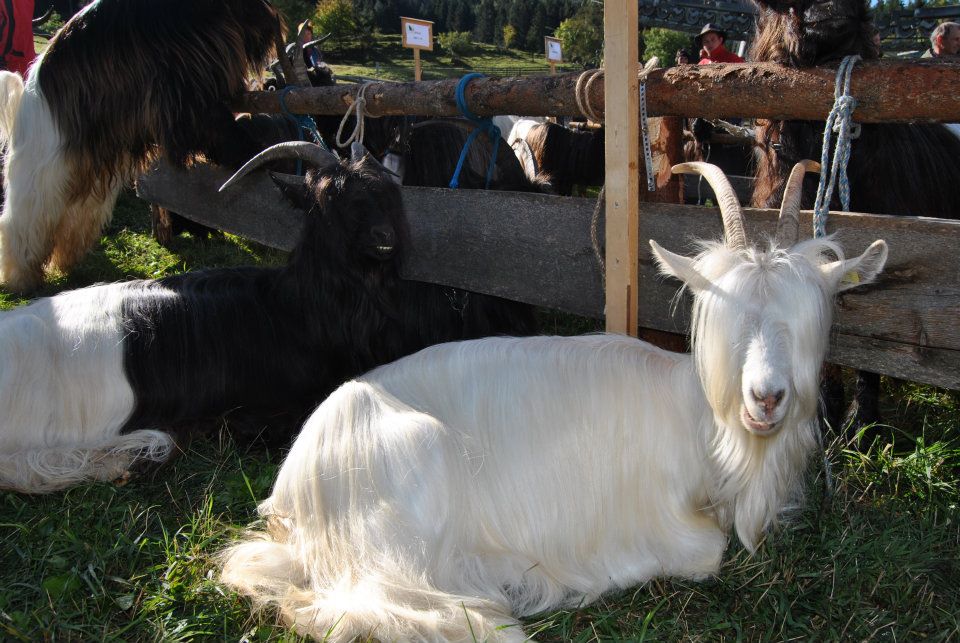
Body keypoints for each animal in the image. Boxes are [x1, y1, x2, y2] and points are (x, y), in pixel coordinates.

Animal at [0, 0, 284, 292]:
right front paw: (257, 155)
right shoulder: (186, 91)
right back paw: (20, 277)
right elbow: (216, 130)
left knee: (71, 222)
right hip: (44, 172)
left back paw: (67, 264)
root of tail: (26, 98)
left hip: (83, 177)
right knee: (21, 223)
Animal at [221, 160, 888, 640]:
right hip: (406, 492)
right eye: (721, 314)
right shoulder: (653, 521)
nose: (767, 398)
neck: (698, 418)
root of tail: (294, 491)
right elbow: (706, 552)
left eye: (807, 319)